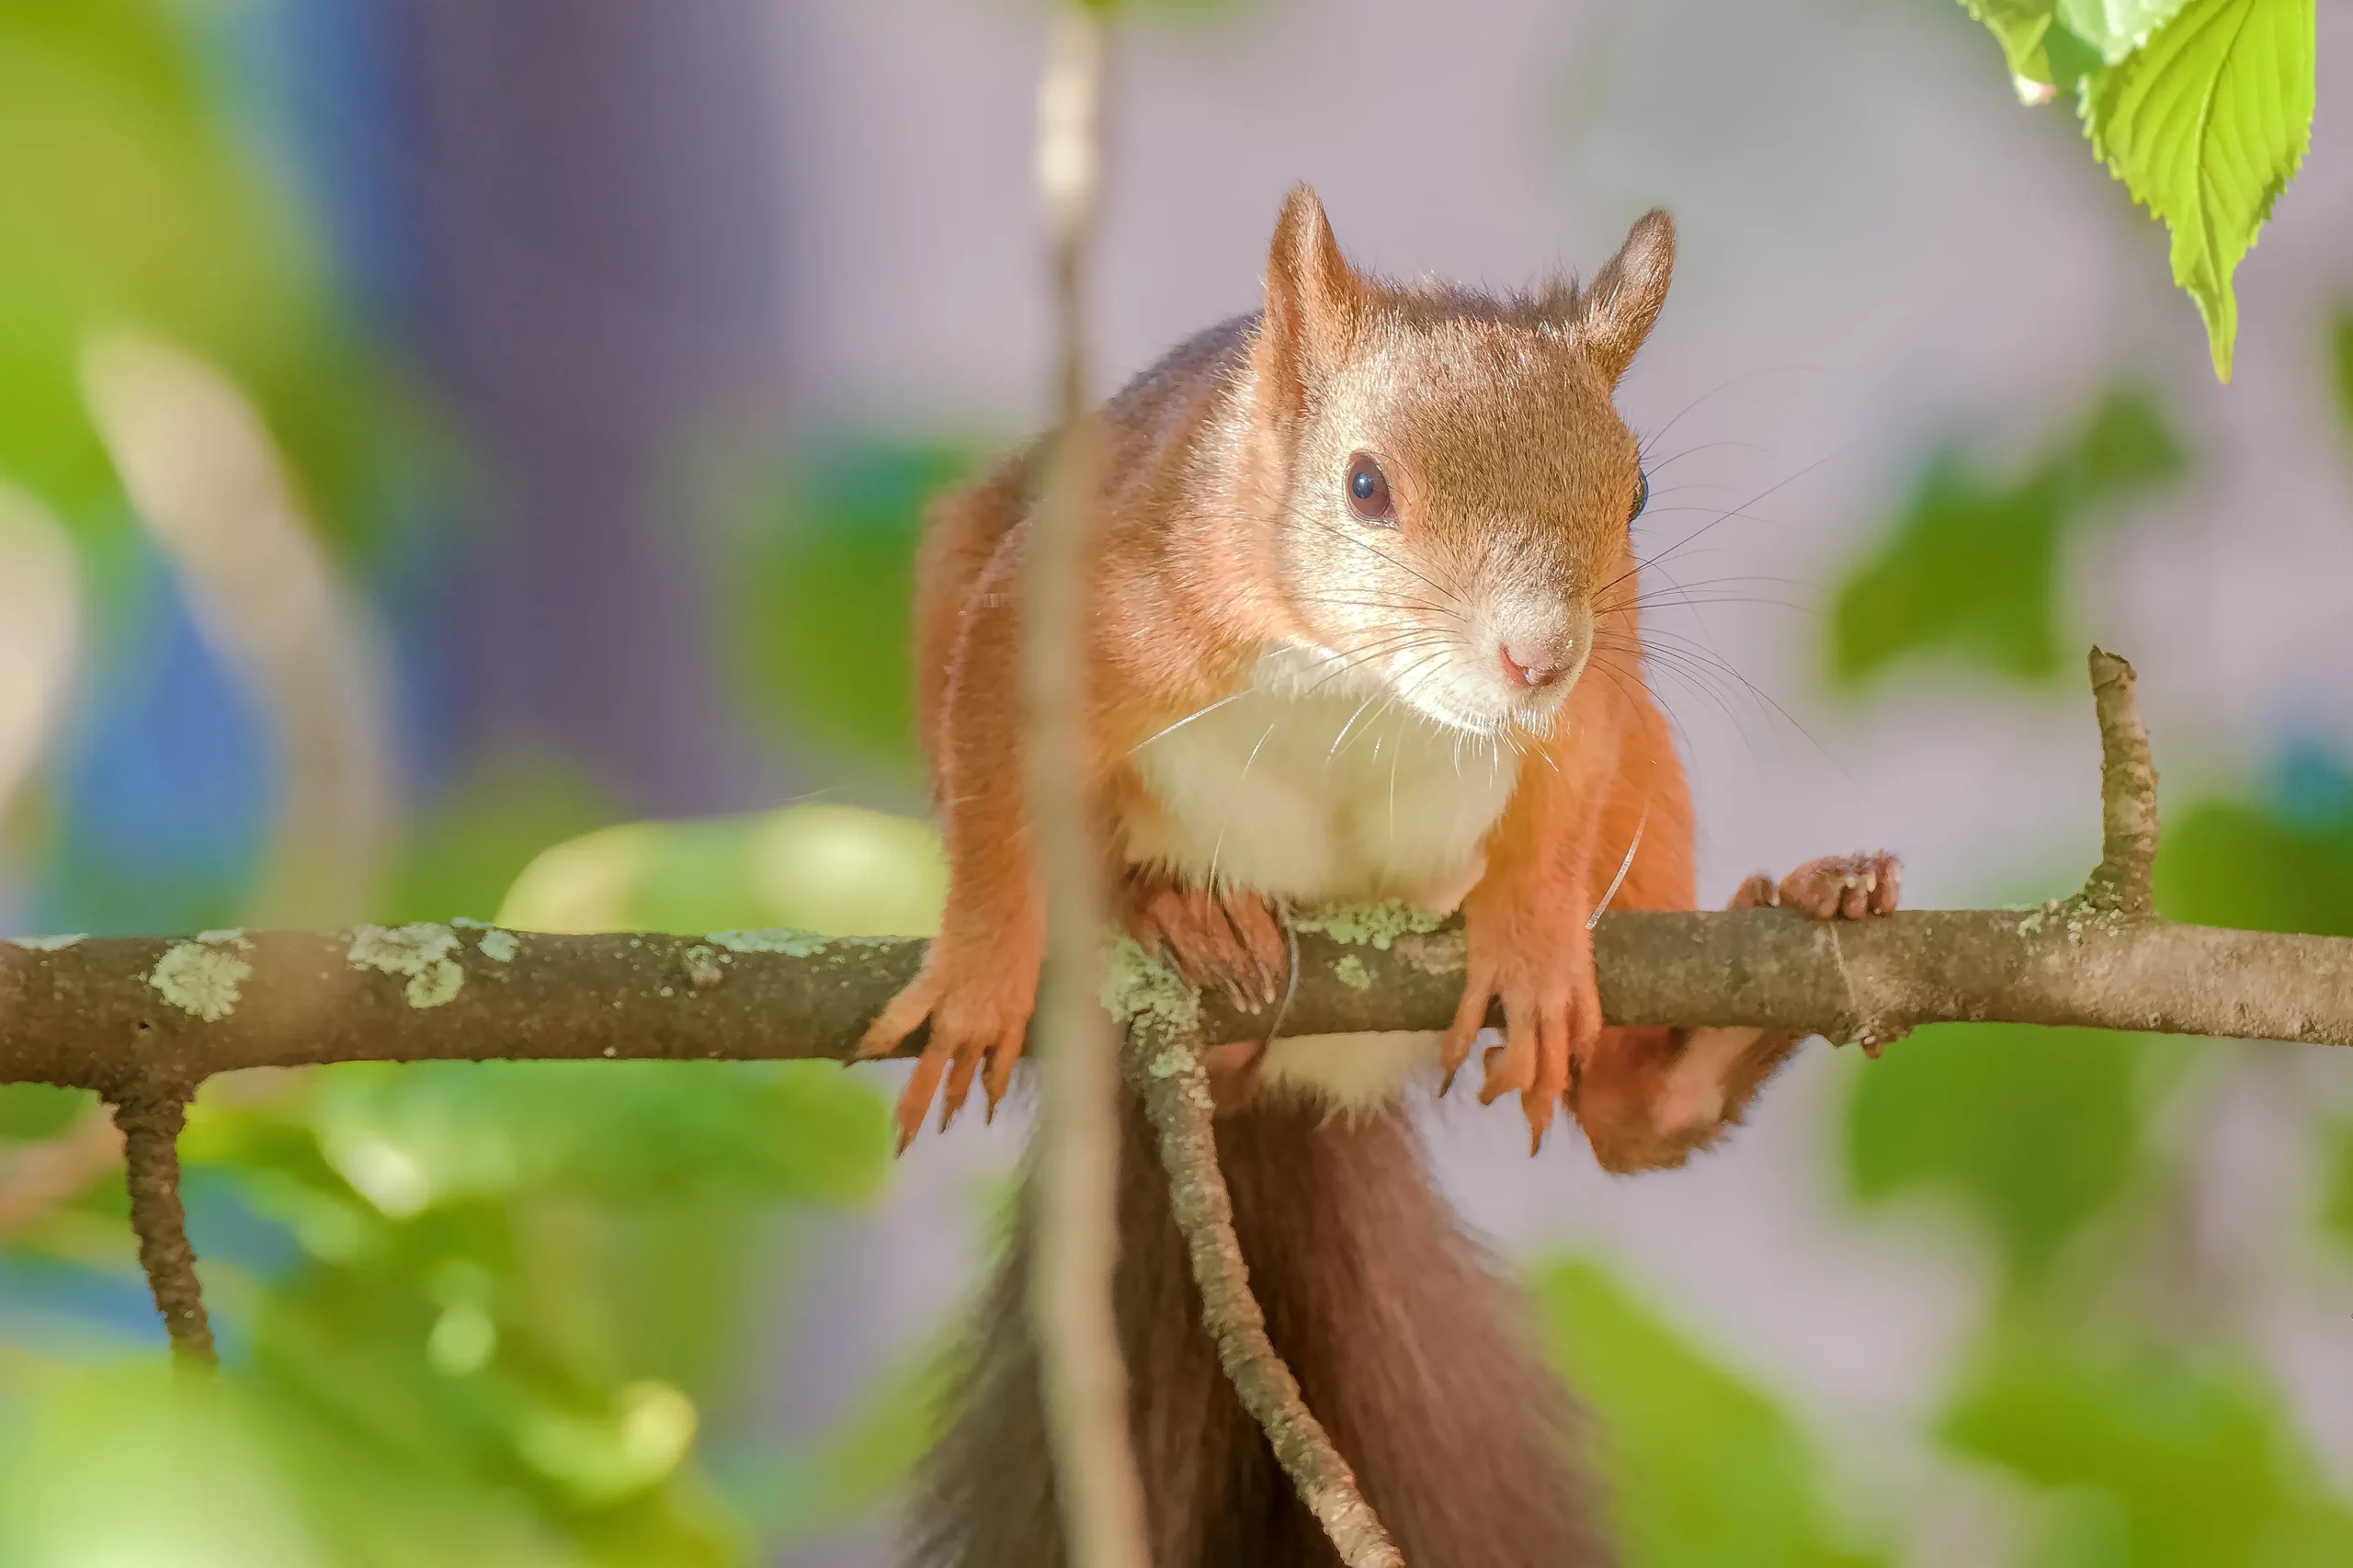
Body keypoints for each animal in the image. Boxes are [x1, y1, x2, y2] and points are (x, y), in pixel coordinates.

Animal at [862, 186, 1901, 1567]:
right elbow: (991, 776)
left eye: (1634, 492)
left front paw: (1530, 945)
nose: (1536, 655)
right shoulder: (1088, 595)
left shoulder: (1596, 703)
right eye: (1364, 485)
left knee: (1632, 1123)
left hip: (1652, 775)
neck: (1355, 682)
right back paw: (1179, 916)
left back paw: (1768, 966)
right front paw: (985, 967)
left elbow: (1557, 811)